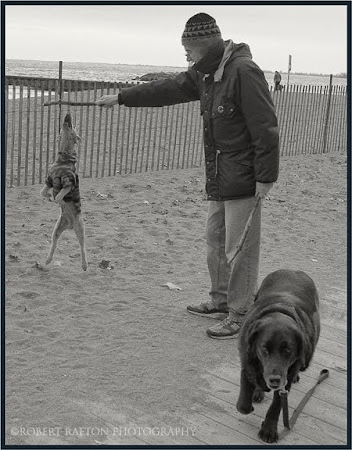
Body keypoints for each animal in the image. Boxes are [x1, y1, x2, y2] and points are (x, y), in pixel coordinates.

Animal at [236, 268, 320, 442]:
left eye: (288, 349)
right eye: (264, 348)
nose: (274, 379)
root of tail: (294, 270)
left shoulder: (284, 382)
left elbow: (276, 406)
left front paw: (269, 429)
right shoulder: (247, 364)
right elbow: (243, 405)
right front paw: (252, 398)